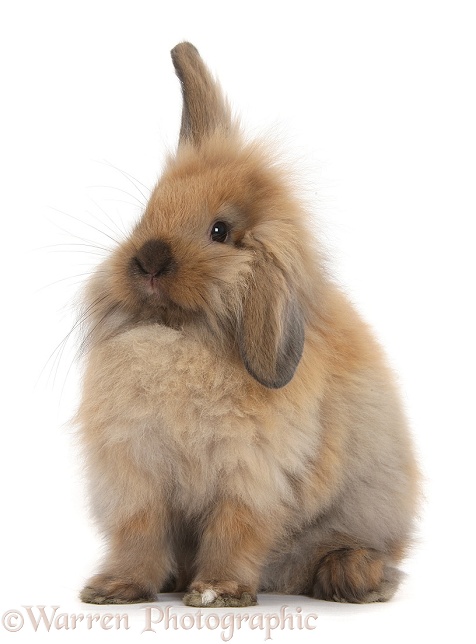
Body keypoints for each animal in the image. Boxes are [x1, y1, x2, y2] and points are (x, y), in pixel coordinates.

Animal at [77, 42, 420, 608]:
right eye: (148, 212)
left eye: (220, 231)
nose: (148, 260)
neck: (181, 337)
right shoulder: (137, 477)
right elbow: (139, 538)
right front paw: (112, 590)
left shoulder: (250, 477)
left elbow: (233, 533)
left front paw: (216, 593)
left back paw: (351, 575)